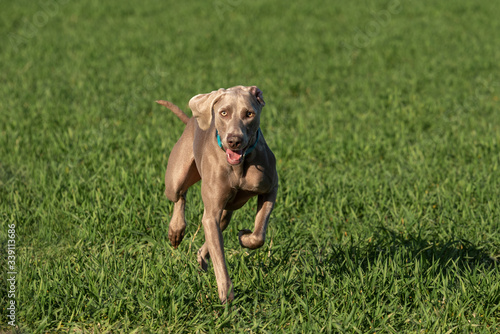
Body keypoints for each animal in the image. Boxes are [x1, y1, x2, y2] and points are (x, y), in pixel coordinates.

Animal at [157, 85, 278, 302]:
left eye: (249, 114)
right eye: (224, 113)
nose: (234, 141)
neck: (239, 166)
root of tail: (192, 120)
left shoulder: (271, 188)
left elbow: (259, 234)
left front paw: (244, 237)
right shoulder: (211, 212)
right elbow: (220, 259)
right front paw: (227, 297)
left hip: (224, 213)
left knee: (214, 232)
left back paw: (201, 258)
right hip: (175, 177)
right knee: (179, 195)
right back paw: (176, 231)